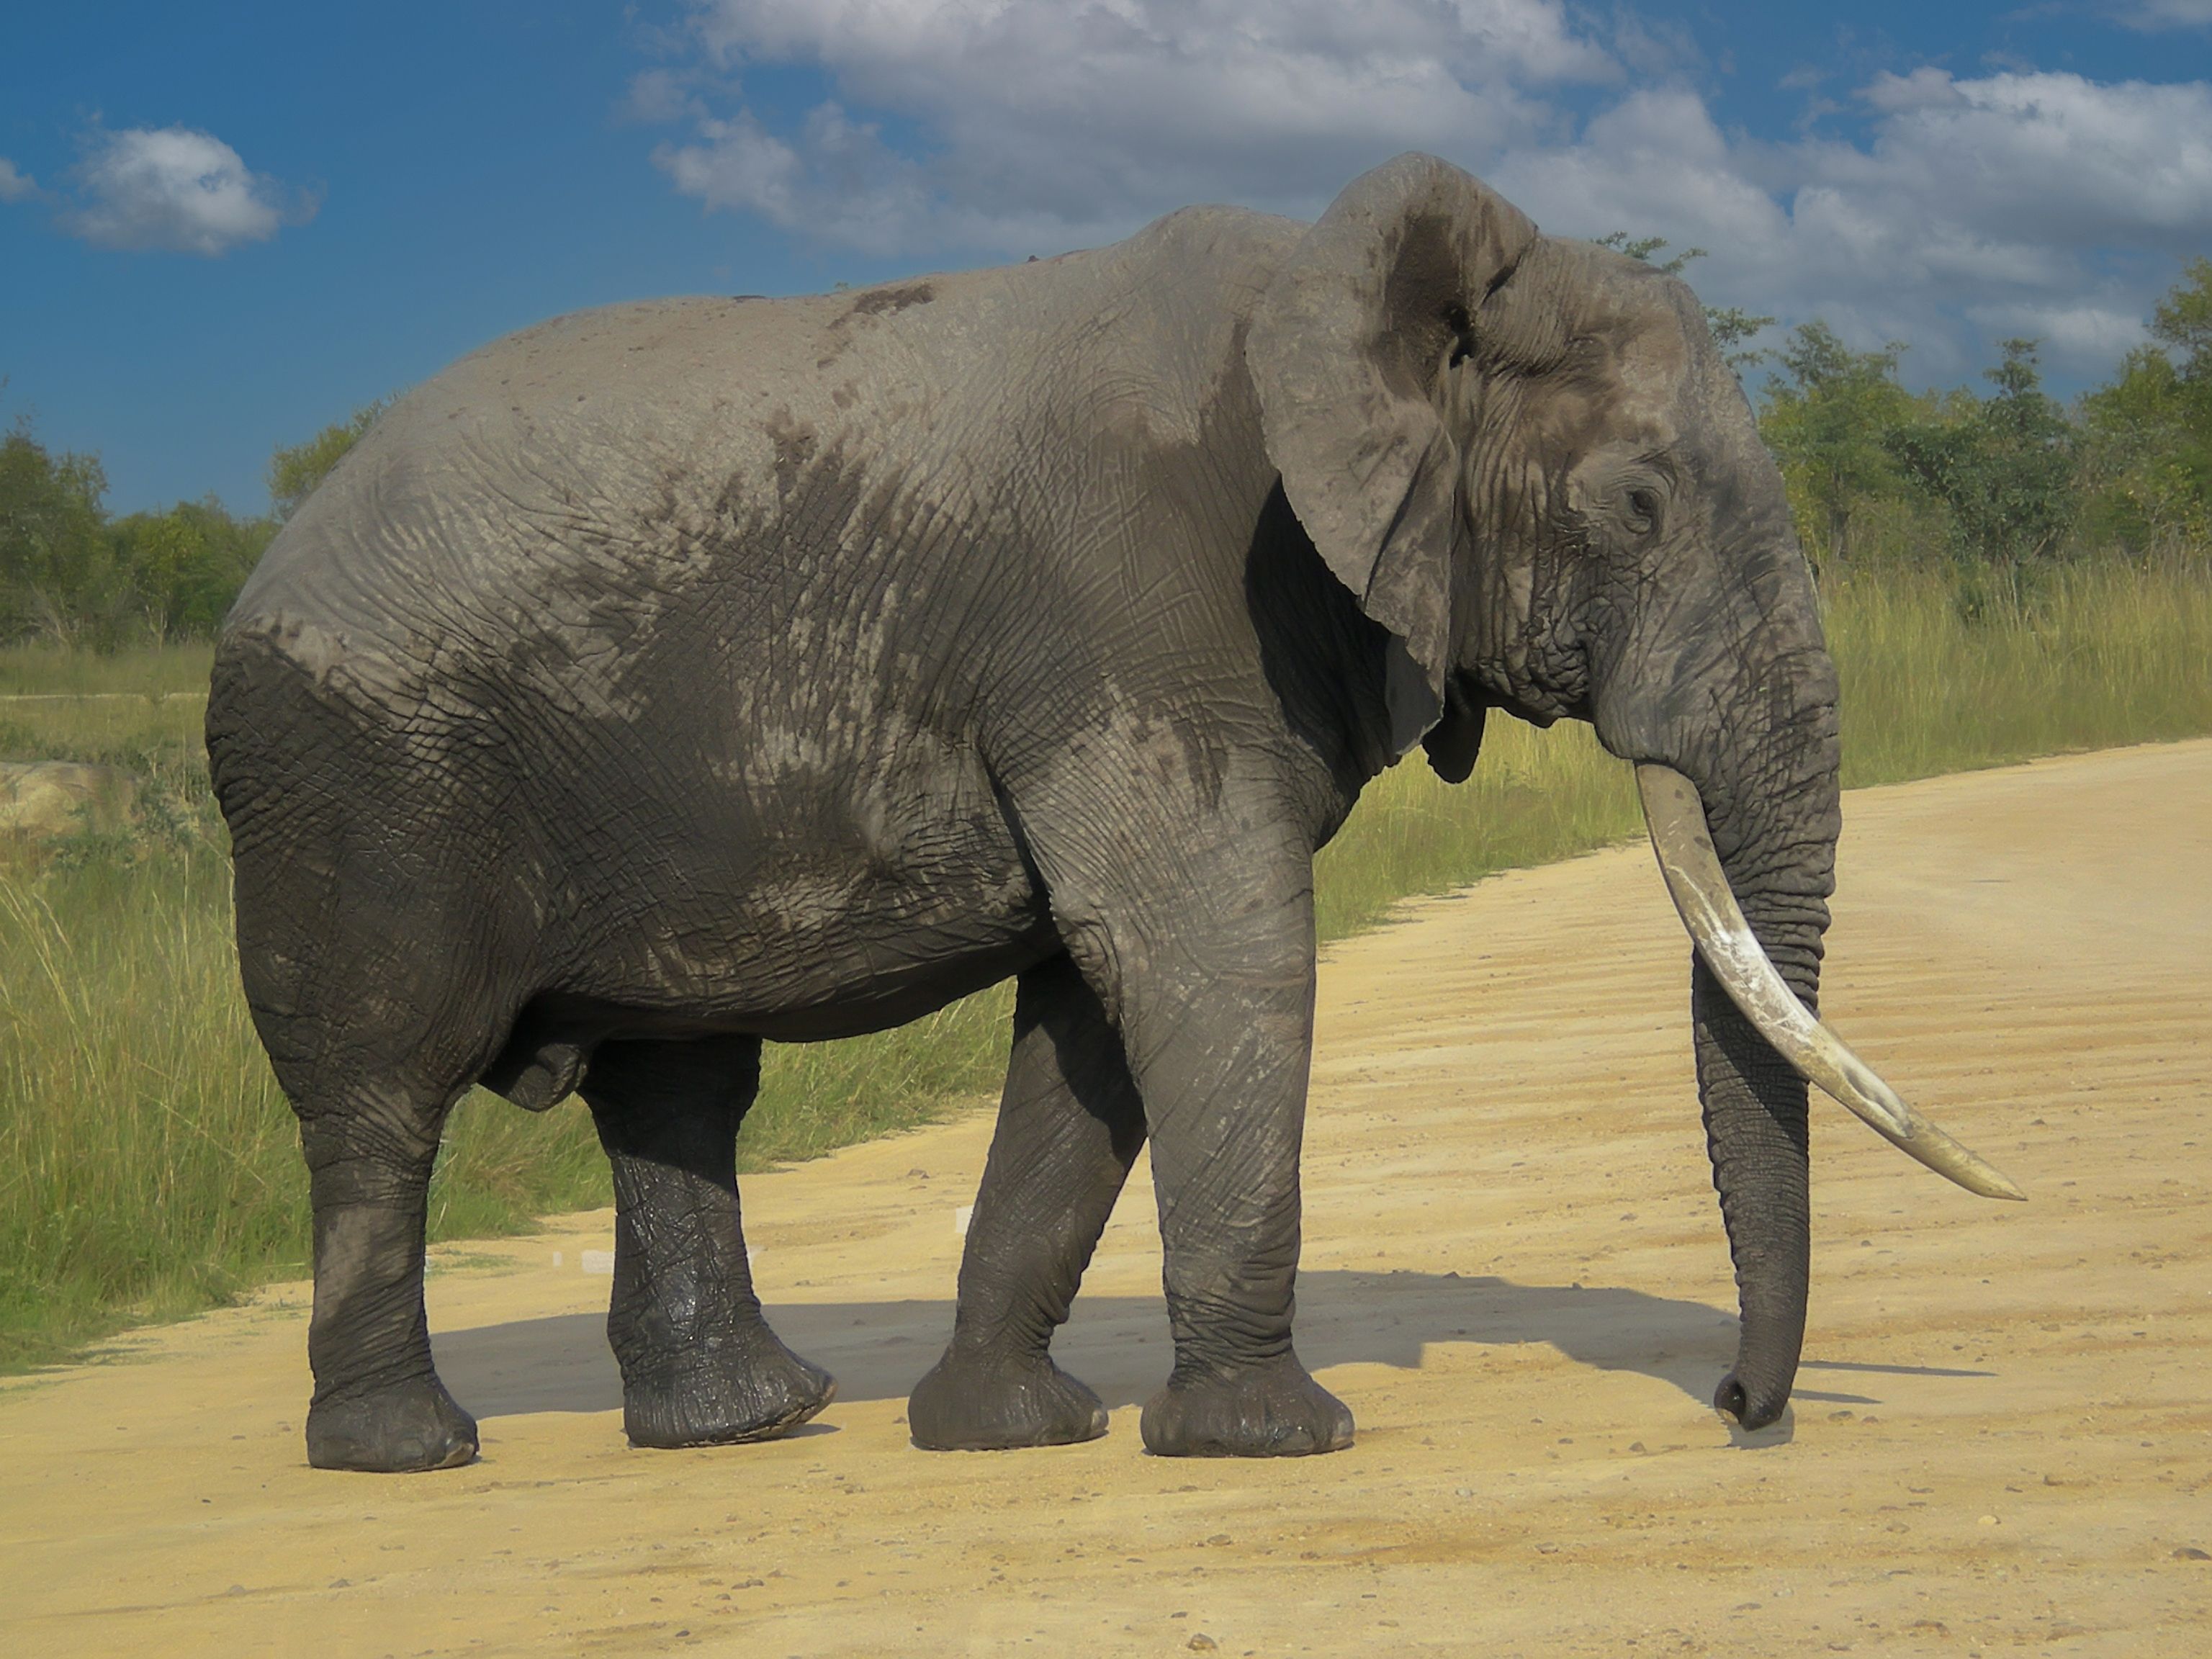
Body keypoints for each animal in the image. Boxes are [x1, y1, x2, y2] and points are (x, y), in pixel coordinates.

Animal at [206, 153, 2019, 1475]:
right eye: (1636, 503)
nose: (1732, 1408)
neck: (1348, 284)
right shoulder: (1143, 605)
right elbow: (1212, 955)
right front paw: (1273, 1443)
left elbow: (1091, 1013)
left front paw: (1012, 1435)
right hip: (356, 776)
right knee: (382, 1085)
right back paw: (409, 1451)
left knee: (679, 1084)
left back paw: (750, 1424)